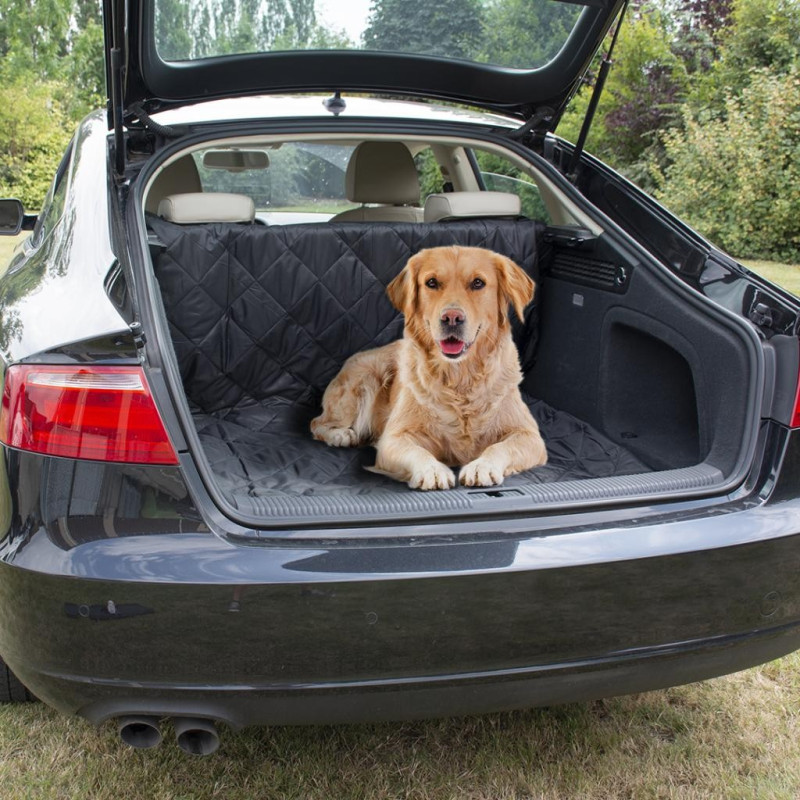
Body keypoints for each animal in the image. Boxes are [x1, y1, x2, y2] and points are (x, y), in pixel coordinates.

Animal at [312, 247, 552, 490]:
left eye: (478, 283)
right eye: (432, 282)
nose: (452, 318)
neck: (459, 378)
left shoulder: (530, 435)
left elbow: (499, 446)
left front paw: (481, 466)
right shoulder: (393, 438)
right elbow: (416, 451)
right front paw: (432, 471)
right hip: (363, 381)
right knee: (317, 422)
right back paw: (341, 435)